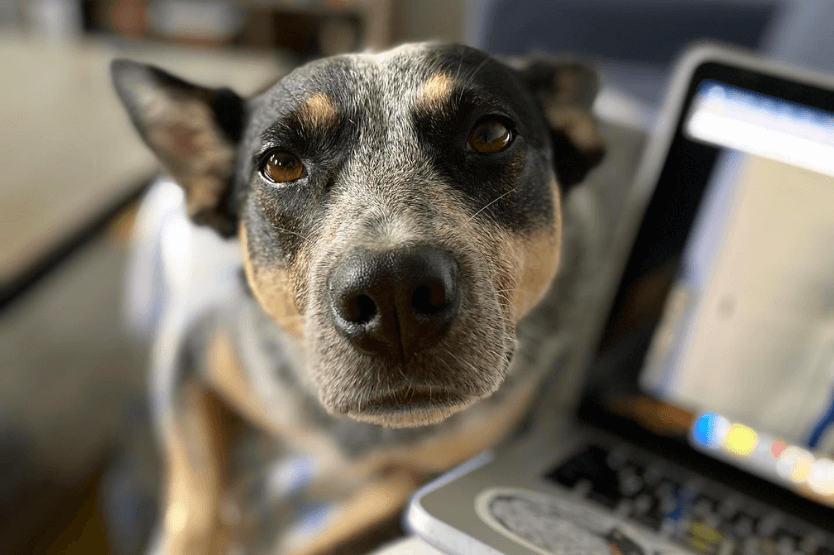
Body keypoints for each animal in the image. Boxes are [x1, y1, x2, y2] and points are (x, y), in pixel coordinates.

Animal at [109, 43, 604, 555]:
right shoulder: (194, 357)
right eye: (280, 164)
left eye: (489, 134)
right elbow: (196, 497)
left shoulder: (420, 480)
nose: (392, 291)